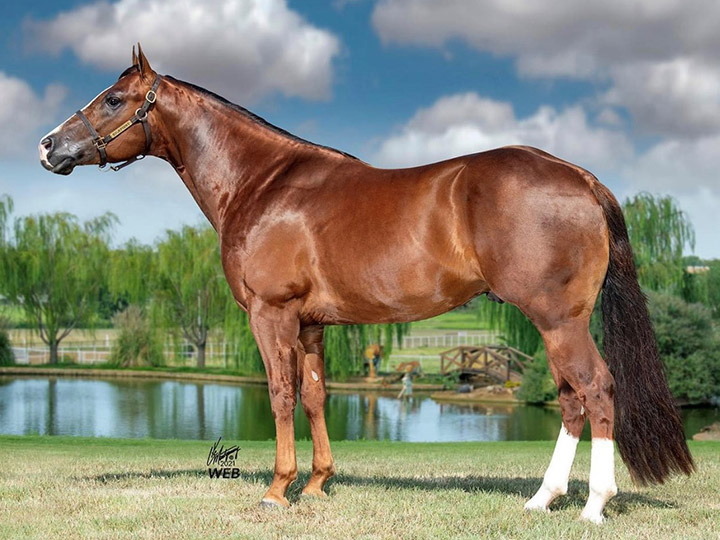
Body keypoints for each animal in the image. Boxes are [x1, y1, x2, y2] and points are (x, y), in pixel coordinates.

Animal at [38, 44, 694, 523]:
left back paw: (592, 507)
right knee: (570, 397)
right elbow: (316, 395)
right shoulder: (310, 324)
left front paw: (277, 490)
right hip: (551, 322)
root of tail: (580, 177)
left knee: (598, 390)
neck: (263, 183)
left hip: (560, 320)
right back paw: (541, 500)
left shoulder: (271, 314)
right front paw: (317, 485)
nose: (48, 146)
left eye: (113, 99)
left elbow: (280, 394)